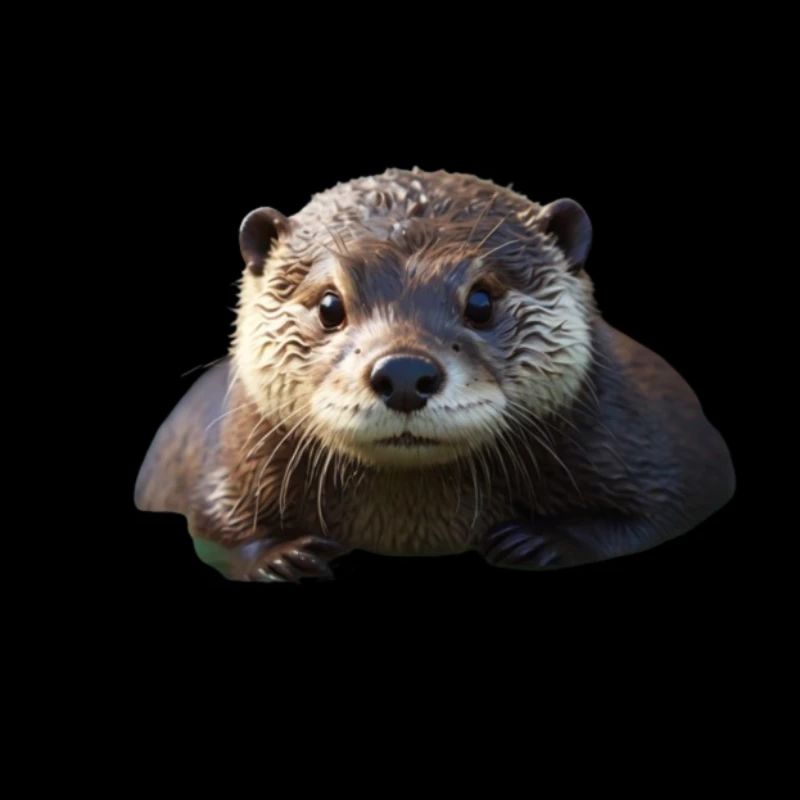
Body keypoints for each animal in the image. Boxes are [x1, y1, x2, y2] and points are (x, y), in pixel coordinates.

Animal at [134, 167, 735, 582]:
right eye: (330, 305)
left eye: (481, 301)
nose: (404, 372)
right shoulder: (223, 460)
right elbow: (211, 528)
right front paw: (281, 556)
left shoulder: (655, 441)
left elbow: (673, 507)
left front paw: (543, 541)